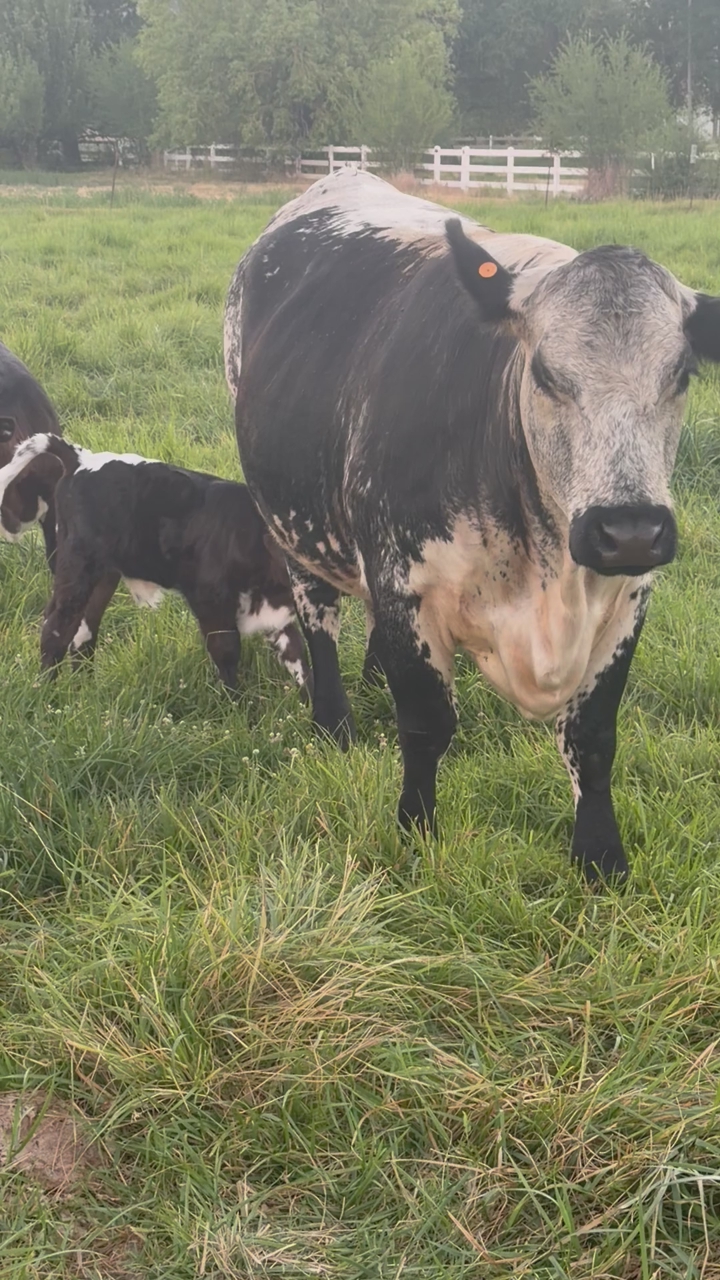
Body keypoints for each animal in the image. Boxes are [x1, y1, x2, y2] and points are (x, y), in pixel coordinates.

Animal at [0, 434, 311, 693]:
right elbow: (227, 653)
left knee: (83, 631)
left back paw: (84, 689)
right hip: (77, 565)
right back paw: (47, 691)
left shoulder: (275, 614)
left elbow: (300, 659)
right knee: (57, 626)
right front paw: (238, 710)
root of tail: (80, 458)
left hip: (103, 576)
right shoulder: (210, 602)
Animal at [224, 168, 720, 884]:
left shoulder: (630, 597)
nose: (627, 530)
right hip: (292, 524)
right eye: (546, 374)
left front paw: (601, 857)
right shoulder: (405, 581)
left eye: (681, 375)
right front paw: (415, 830)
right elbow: (426, 723)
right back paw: (334, 722)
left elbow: (593, 736)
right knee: (318, 620)